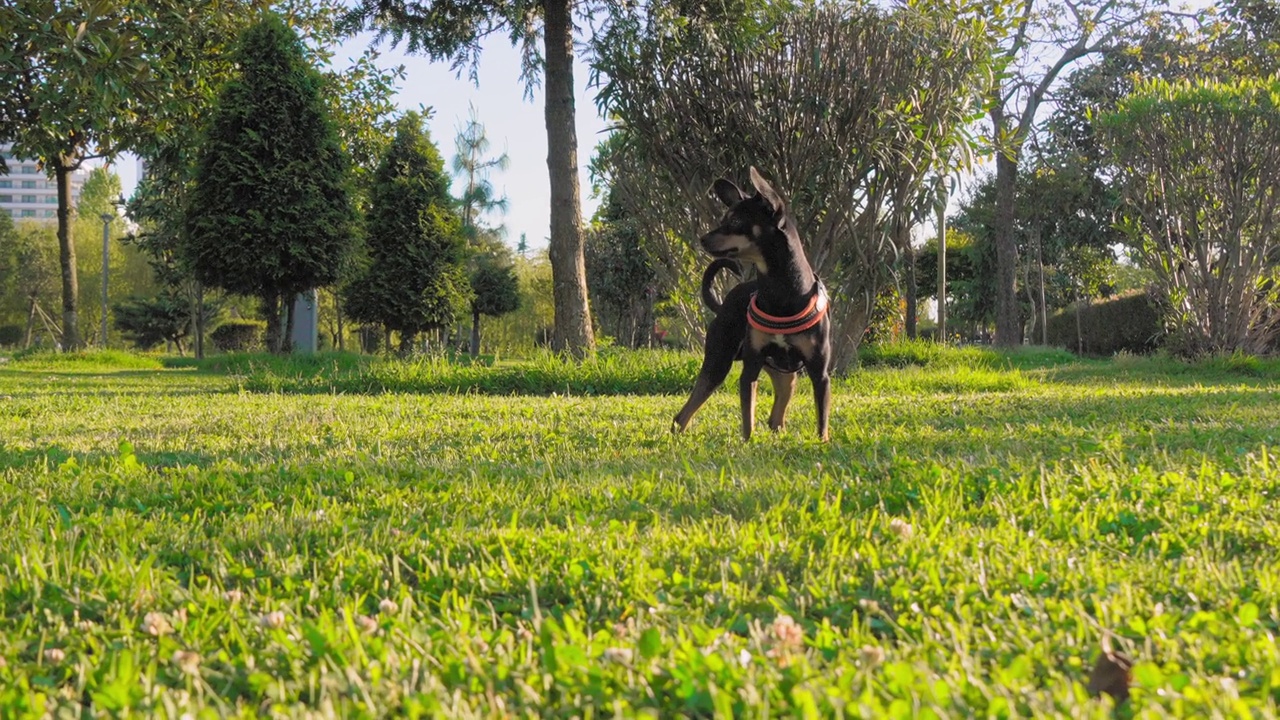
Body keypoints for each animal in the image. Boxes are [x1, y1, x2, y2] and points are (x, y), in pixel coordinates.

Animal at [675, 166, 834, 440]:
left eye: (736, 222)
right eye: (723, 218)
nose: (702, 239)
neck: (781, 291)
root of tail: (722, 305)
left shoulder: (819, 373)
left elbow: (821, 421)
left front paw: (822, 442)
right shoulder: (750, 368)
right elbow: (747, 419)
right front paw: (748, 443)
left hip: (783, 374)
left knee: (777, 415)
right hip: (718, 362)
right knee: (683, 415)